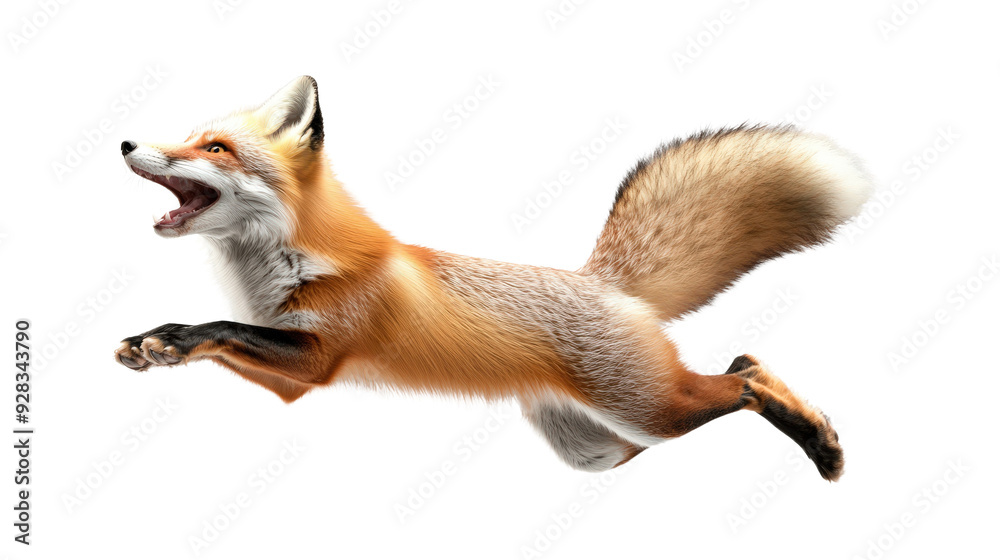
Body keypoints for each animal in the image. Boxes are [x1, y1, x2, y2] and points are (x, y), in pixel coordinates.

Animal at [115, 76, 871, 481]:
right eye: (189, 138)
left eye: (214, 148)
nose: (125, 142)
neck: (283, 267)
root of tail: (603, 282)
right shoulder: (291, 376)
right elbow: (222, 334)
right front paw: (159, 342)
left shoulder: (321, 357)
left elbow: (219, 326)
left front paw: (173, 339)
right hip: (598, 446)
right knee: (732, 375)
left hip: (651, 410)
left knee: (746, 375)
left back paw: (823, 445)